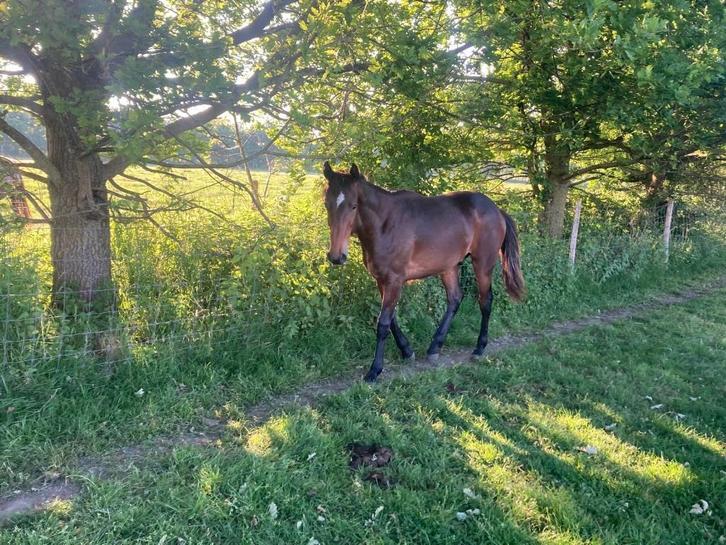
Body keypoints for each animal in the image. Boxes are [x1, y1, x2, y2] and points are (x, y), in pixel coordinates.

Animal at [322, 161, 525, 382]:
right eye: (327, 204)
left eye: (353, 206)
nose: (336, 256)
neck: (385, 224)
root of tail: (497, 210)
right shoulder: (382, 280)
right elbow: (391, 320)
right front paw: (407, 350)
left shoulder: (394, 280)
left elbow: (383, 323)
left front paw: (375, 370)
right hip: (449, 267)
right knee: (455, 299)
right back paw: (435, 346)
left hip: (483, 265)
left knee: (485, 301)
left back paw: (479, 348)